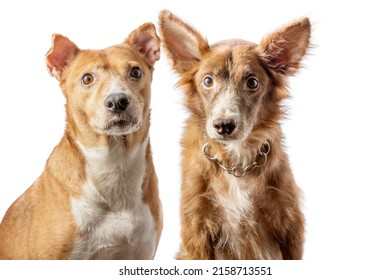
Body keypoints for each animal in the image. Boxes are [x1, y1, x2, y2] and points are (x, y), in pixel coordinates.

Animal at [159, 10, 310, 260]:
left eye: (252, 82)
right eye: (208, 81)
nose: (224, 125)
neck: (236, 165)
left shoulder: (289, 226)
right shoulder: (197, 230)